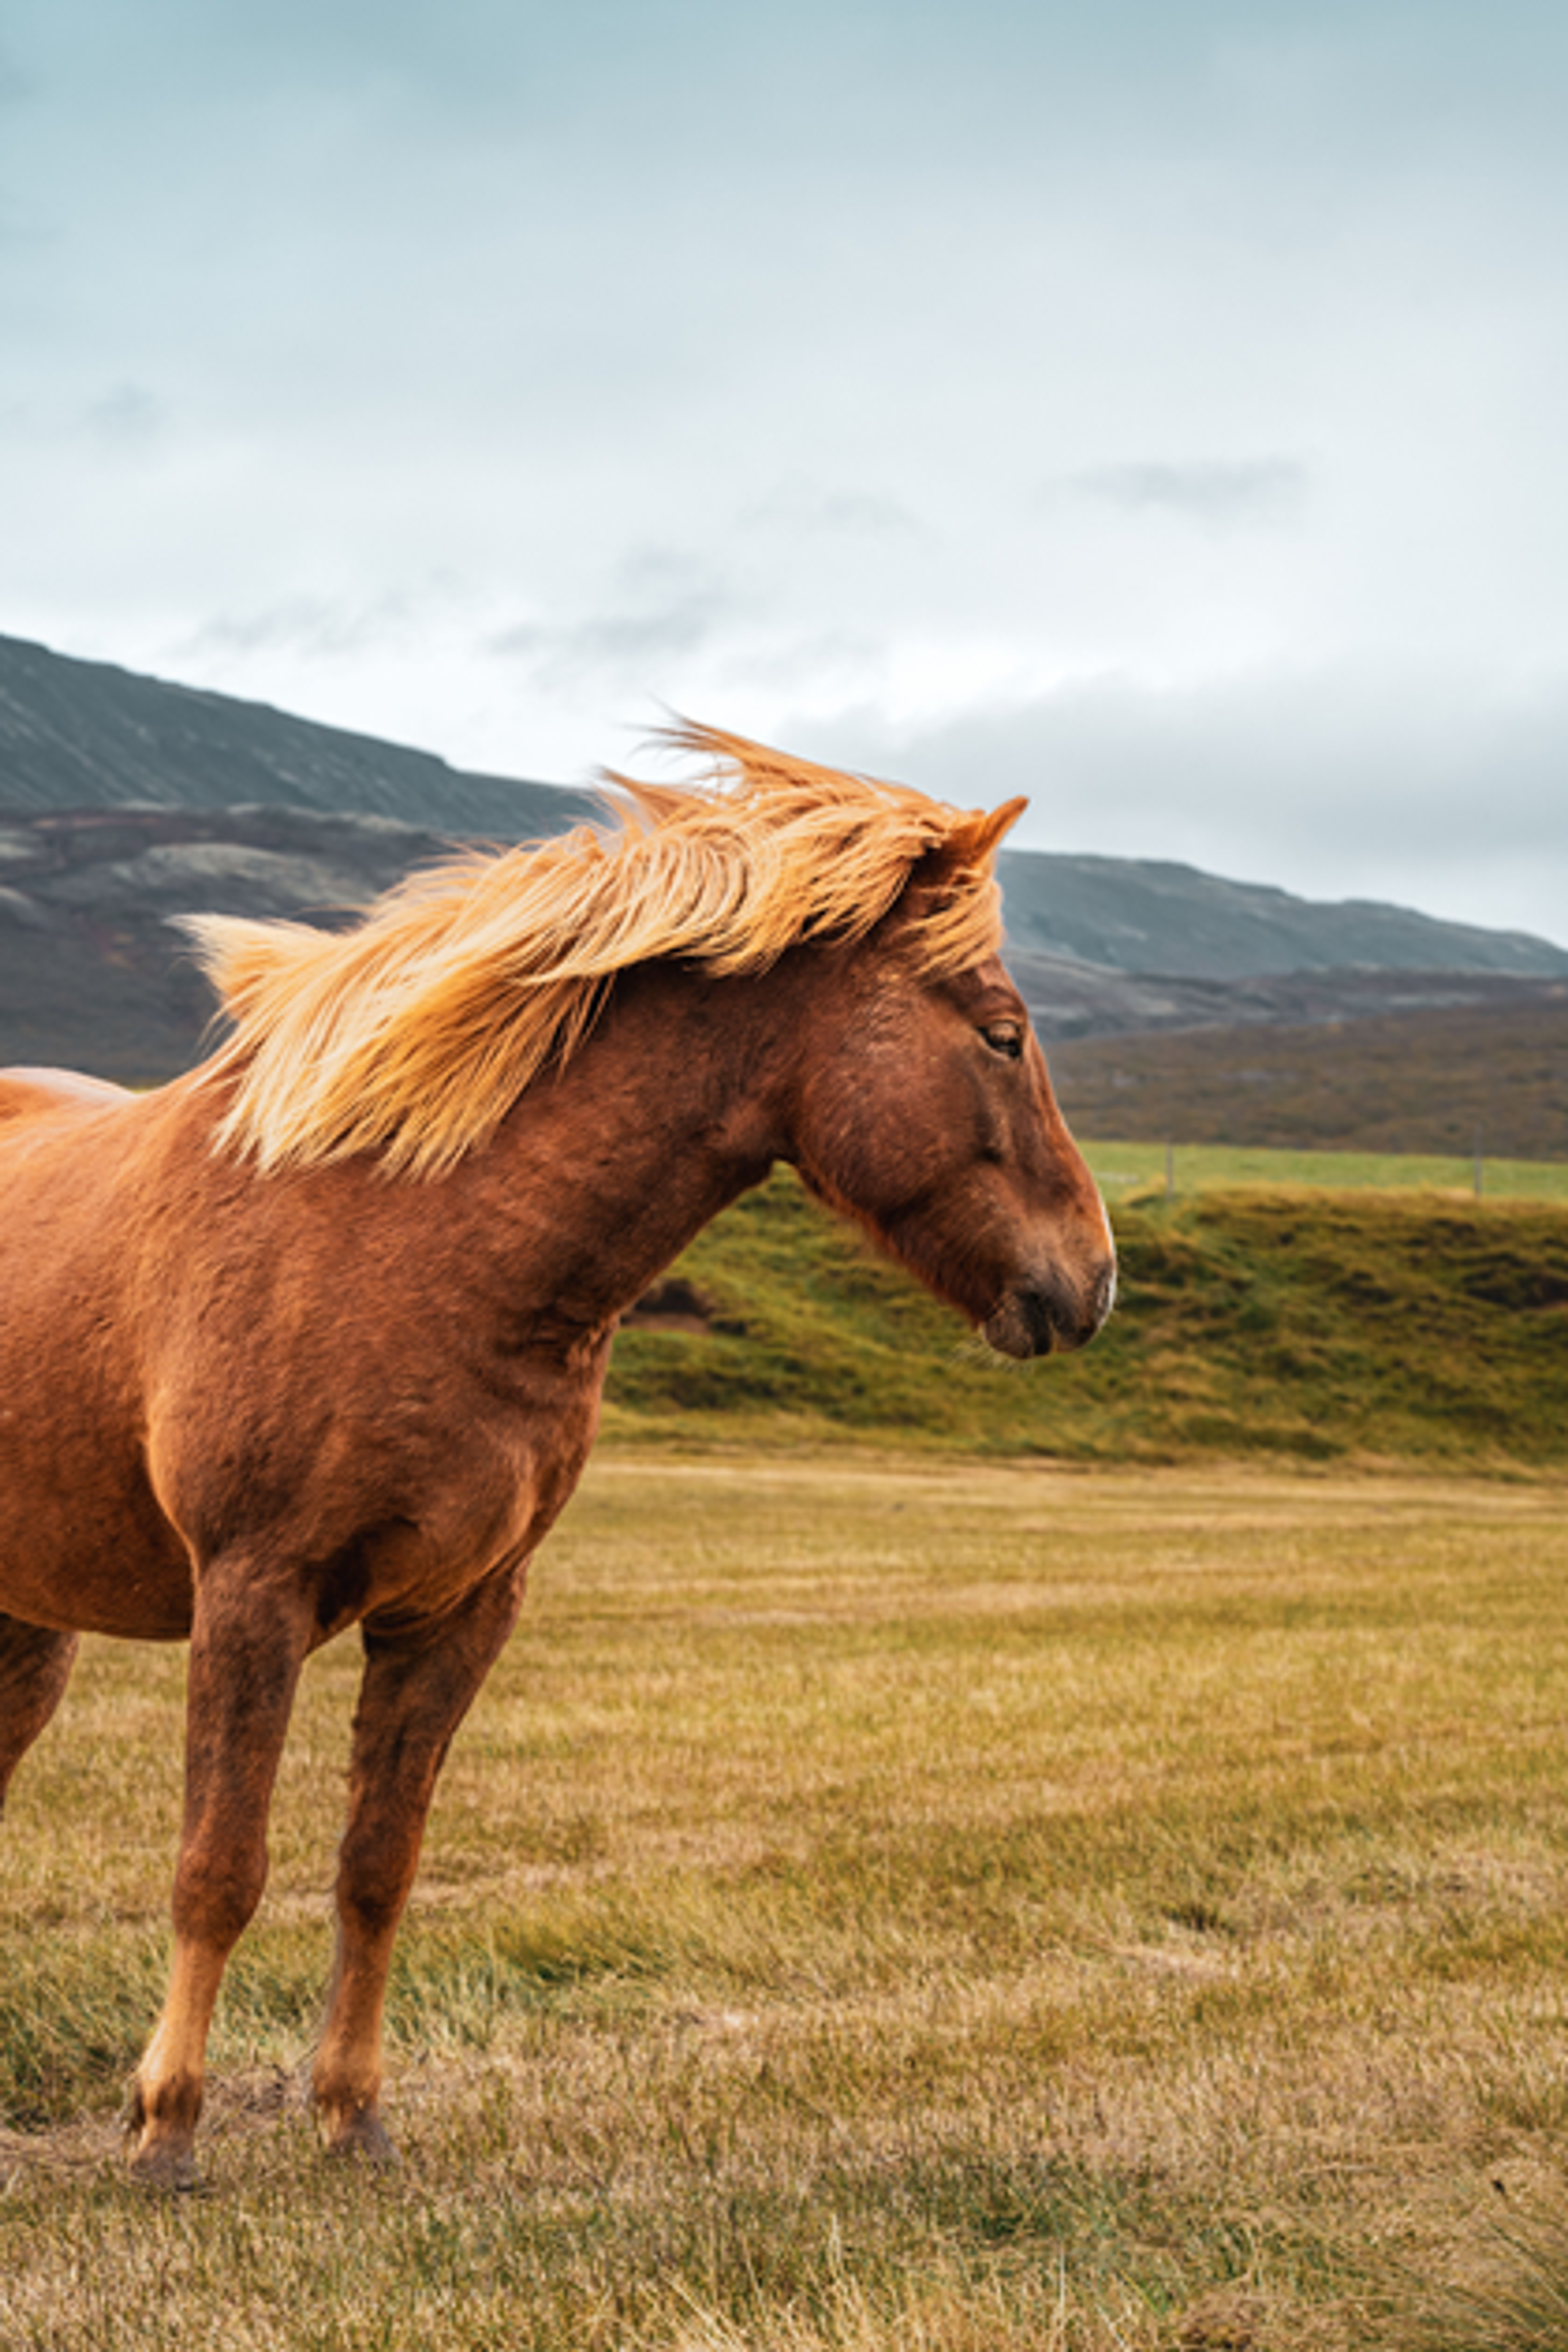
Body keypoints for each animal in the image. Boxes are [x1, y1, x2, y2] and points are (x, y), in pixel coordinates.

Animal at [0, 723, 1115, 2187]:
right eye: (1002, 1035)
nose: (1094, 1281)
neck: (411, 1236)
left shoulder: (460, 1612)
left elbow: (377, 1866)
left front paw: (353, 2118)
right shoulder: (252, 1593)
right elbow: (219, 1867)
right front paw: (164, 2131)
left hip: (28, 1627)